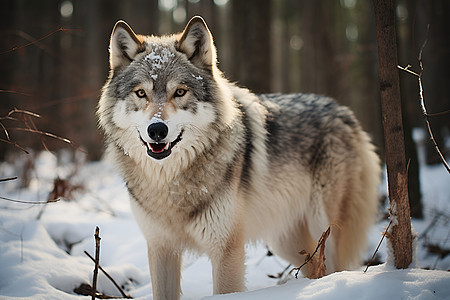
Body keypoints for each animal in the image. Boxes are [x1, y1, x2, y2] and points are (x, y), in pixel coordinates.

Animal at [97, 17, 380, 300]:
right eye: (140, 93)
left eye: (179, 92)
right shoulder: (160, 248)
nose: (157, 130)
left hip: (325, 228)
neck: (171, 183)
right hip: (286, 241)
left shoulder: (226, 250)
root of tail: (344, 112)